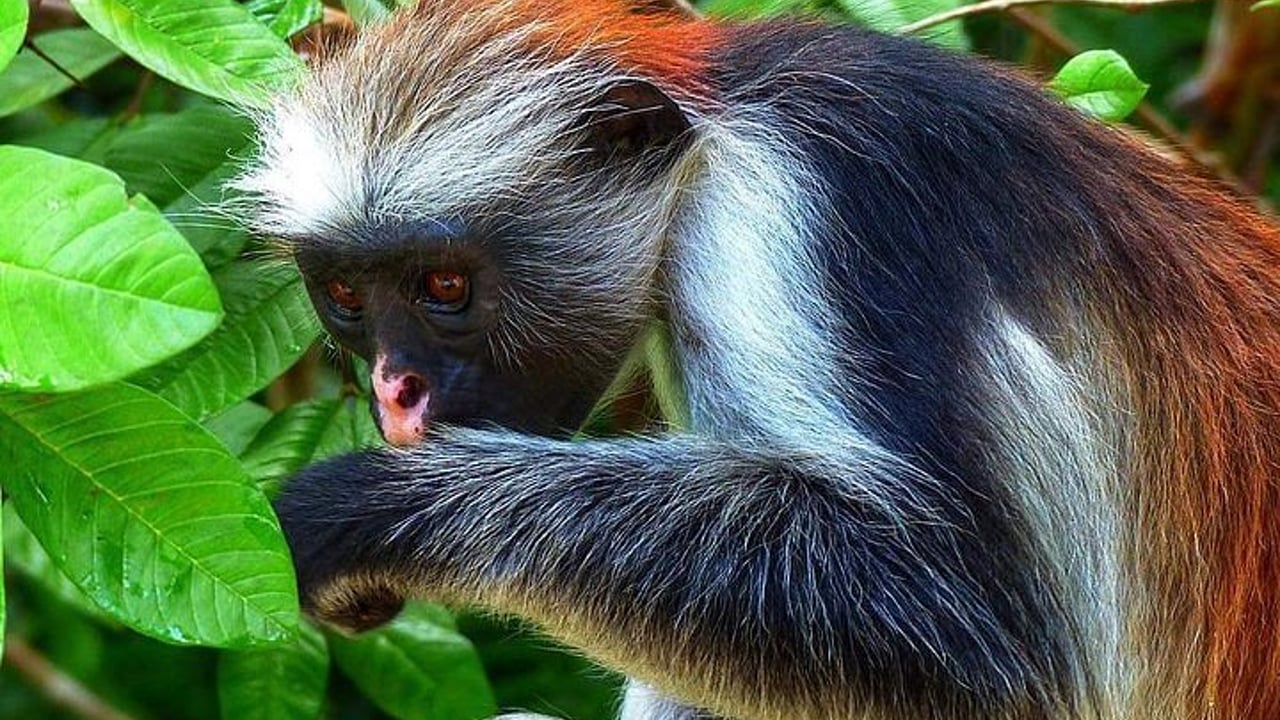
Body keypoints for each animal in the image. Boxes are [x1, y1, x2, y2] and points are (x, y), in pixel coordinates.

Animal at [236, 0, 1280, 718]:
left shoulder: (791, 207)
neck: (714, 128)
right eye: (347, 297)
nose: (393, 392)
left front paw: (364, 510)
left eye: (445, 287)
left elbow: (976, 646)